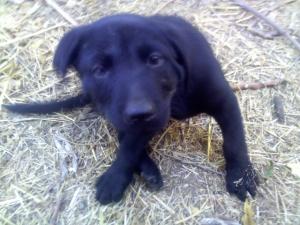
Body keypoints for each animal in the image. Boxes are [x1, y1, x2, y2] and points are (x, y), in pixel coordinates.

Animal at [3, 13, 258, 204]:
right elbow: (129, 146)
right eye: (100, 70)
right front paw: (115, 177)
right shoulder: (135, 120)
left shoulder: (224, 100)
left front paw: (241, 177)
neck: (176, 94)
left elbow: (234, 140)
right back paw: (148, 170)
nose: (140, 113)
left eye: (155, 60)